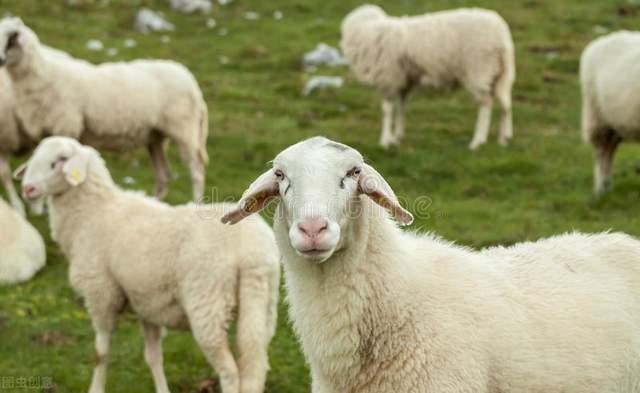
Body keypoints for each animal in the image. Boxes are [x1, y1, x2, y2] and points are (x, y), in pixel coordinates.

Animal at [0, 15, 209, 201]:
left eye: (11, 38)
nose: (0, 60)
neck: (46, 76)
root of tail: (191, 80)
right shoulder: (45, 132)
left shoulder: (67, 127)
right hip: (155, 136)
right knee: (163, 176)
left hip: (183, 130)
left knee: (197, 172)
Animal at [15, 136, 278, 392]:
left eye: (57, 162)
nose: (28, 189)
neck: (91, 212)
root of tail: (251, 251)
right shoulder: (148, 303)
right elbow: (153, 357)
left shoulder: (101, 294)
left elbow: (101, 353)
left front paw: (96, 388)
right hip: (263, 304)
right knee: (256, 363)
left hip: (208, 304)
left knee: (230, 372)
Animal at [340, 5, 516, 149]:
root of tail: (501, 37)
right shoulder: (404, 81)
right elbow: (401, 106)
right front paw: (397, 136)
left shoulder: (389, 79)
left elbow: (387, 110)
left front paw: (385, 140)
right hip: (501, 73)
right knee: (506, 104)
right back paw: (504, 138)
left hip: (479, 69)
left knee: (486, 104)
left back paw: (478, 140)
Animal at [580, 30, 640, 194]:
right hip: (597, 115)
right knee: (601, 152)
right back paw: (600, 189)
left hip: (614, 123)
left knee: (610, 149)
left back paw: (607, 185)